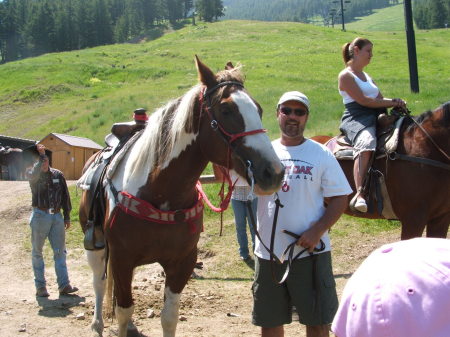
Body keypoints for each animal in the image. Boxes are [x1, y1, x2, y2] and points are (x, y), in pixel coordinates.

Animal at [77, 57, 282, 336]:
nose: (274, 172)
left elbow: (169, 317)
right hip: (96, 245)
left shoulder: (182, 263)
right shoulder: (121, 259)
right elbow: (123, 309)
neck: (161, 192)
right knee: (99, 283)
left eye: (258, 109)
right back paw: (97, 324)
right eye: (226, 110)